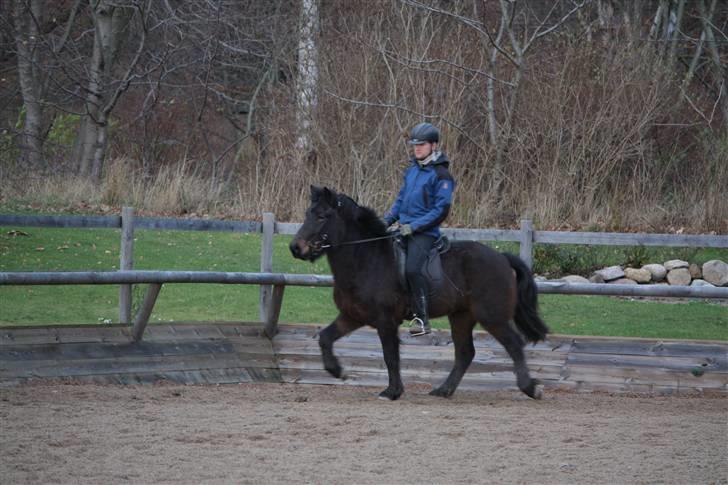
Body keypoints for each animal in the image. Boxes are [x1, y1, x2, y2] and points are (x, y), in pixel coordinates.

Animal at [288, 185, 548, 400]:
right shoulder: (352, 316)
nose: (295, 248)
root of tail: (501, 258)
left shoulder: (385, 320)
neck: (366, 259)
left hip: (492, 317)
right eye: (308, 214)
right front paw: (337, 371)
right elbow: (325, 337)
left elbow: (390, 356)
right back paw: (444, 390)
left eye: (323, 216)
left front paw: (392, 391)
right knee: (465, 353)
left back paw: (530, 388)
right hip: (461, 316)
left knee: (514, 345)